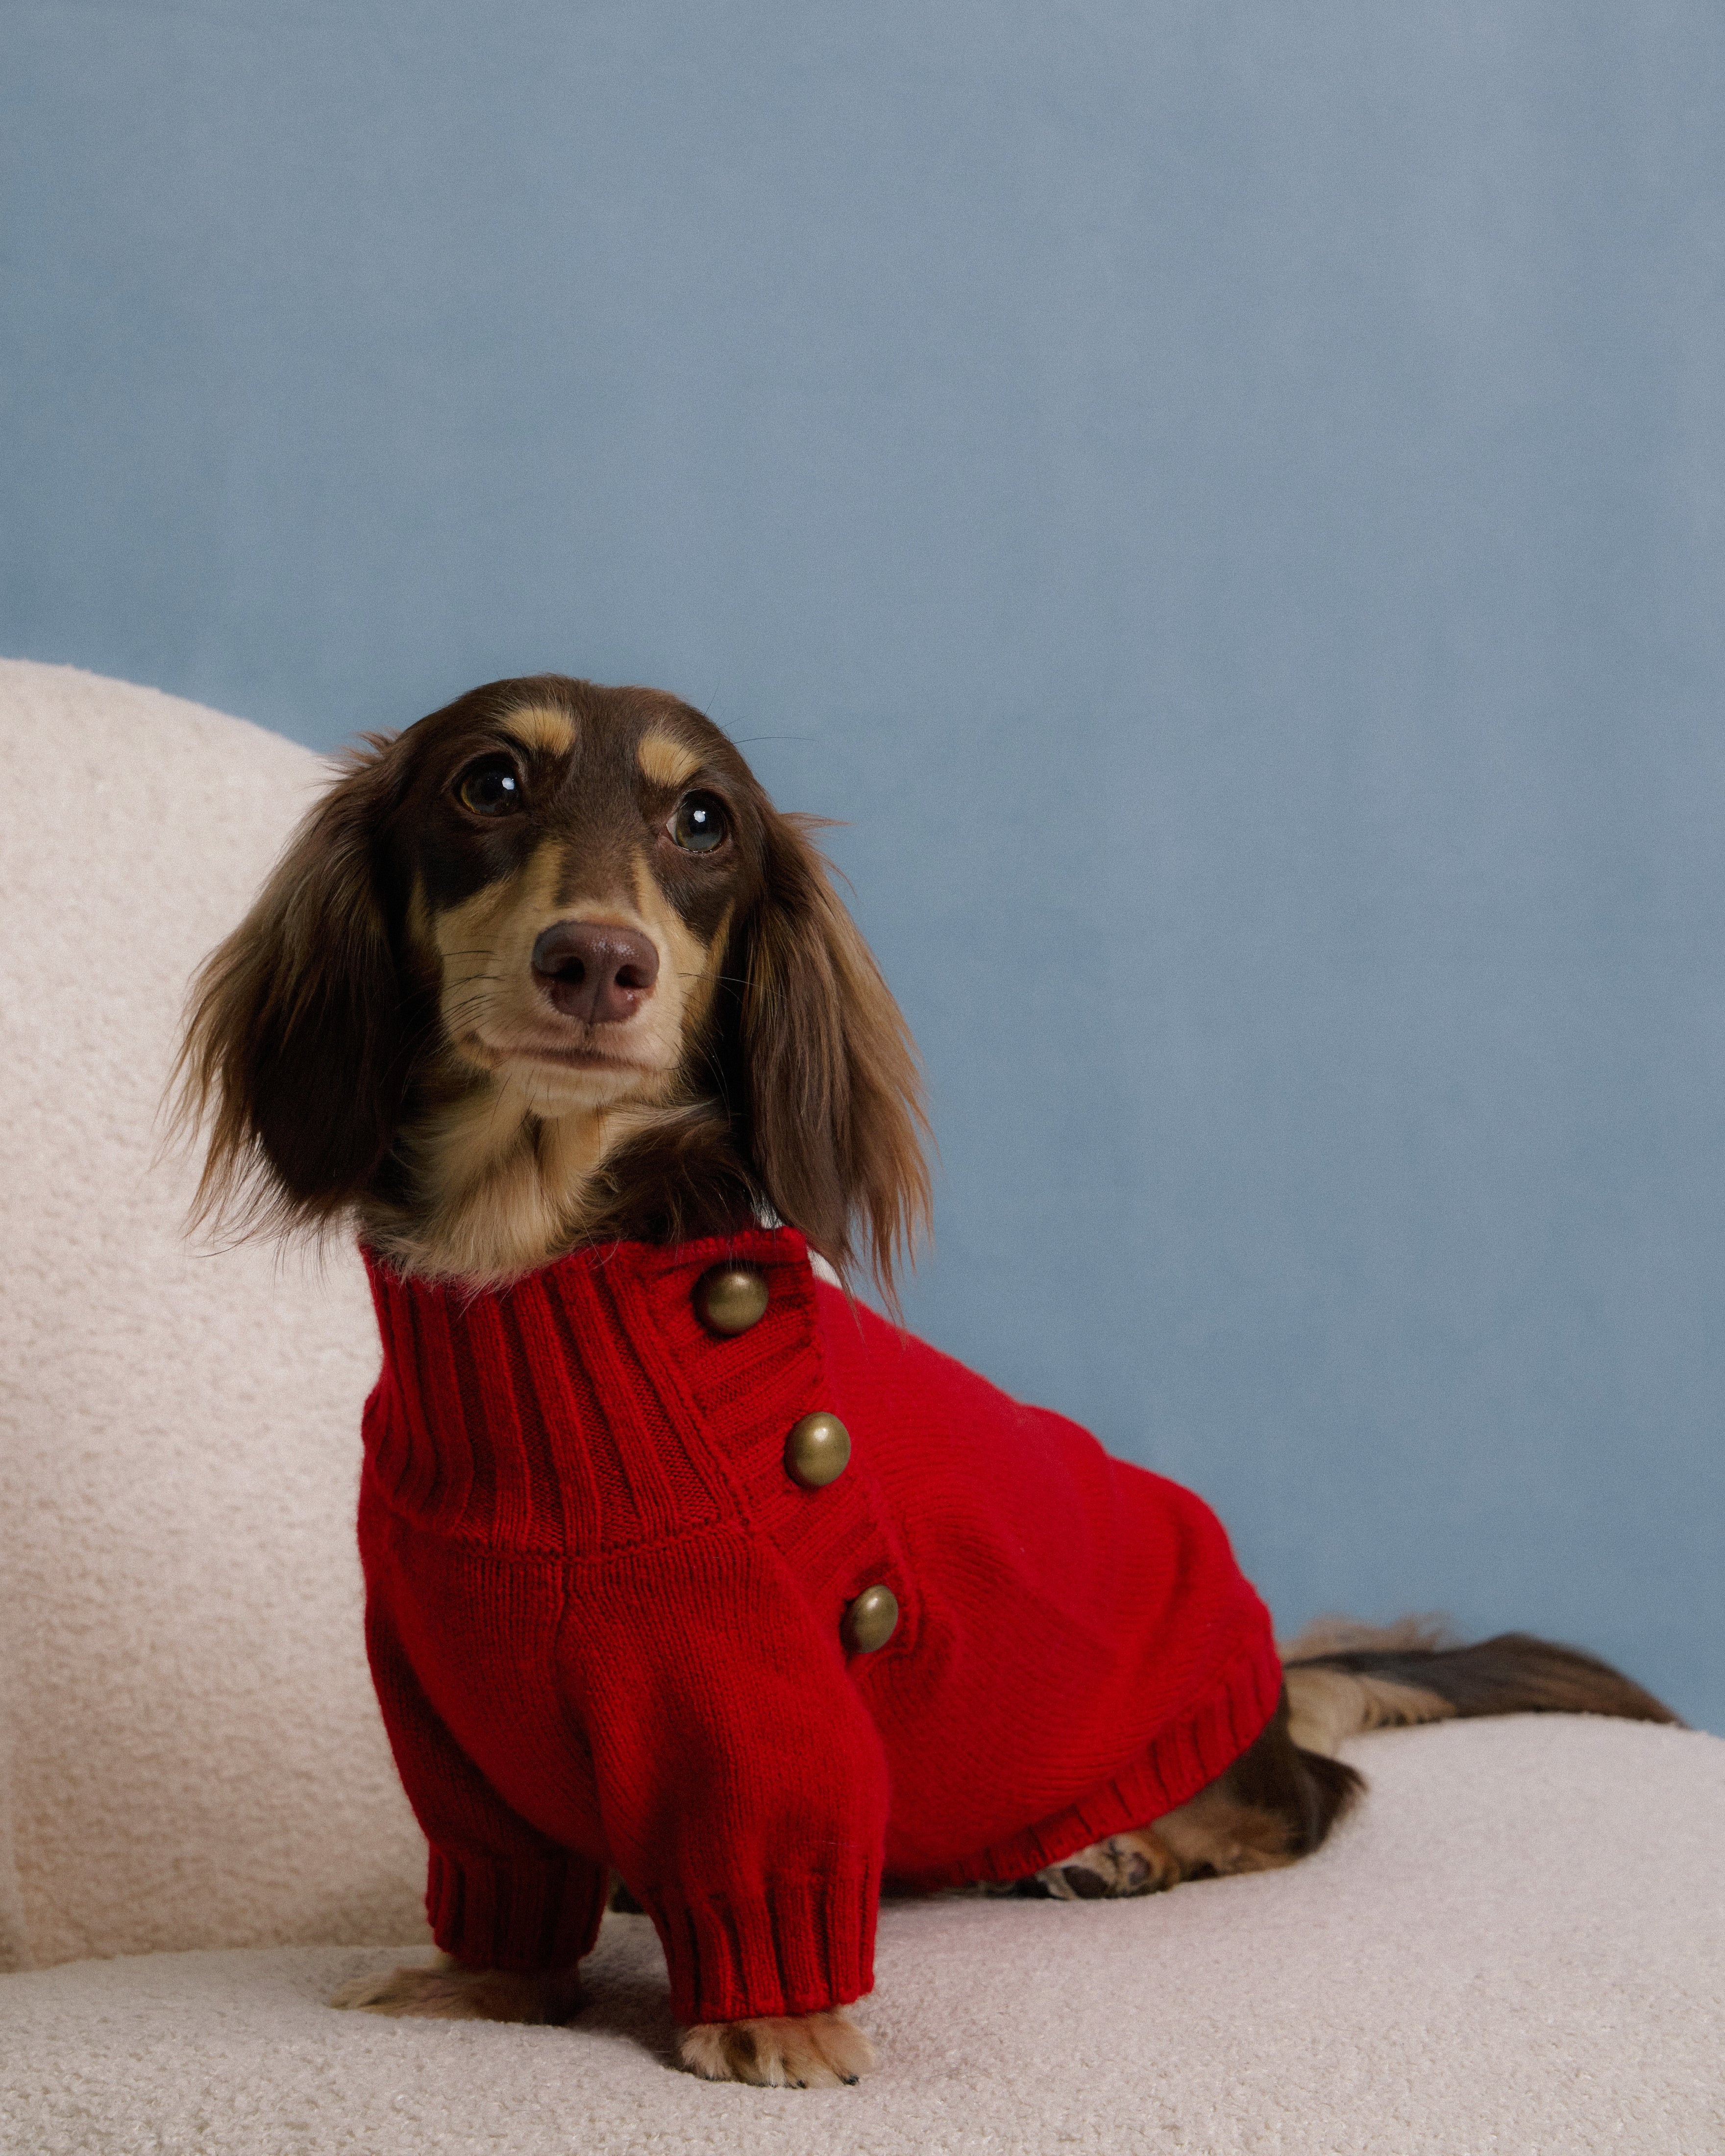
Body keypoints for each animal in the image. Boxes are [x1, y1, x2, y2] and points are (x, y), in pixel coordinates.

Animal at [168, 677, 1682, 2087]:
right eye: (486, 784)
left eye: (703, 821)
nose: (597, 963)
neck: (535, 1283)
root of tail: (1263, 1676)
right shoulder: (449, 1715)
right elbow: (505, 1886)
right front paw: (479, 1987)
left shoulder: (766, 1704)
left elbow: (770, 1856)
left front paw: (779, 2022)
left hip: (1203, 1744)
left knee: (1305, 1803)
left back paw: (1129, 1845)